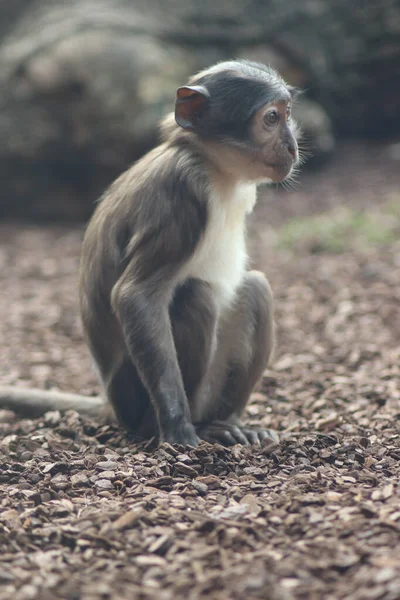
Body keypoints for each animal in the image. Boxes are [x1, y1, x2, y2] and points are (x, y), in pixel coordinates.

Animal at [0, 59, 300, 446]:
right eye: (271, 118)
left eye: (287, 114)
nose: (292, 147)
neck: (211, 165)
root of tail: (113, 407)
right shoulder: (181, 192)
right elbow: (136, 296)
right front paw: (177, 427)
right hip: (134, 396)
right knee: (196, 294)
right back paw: (189, 427)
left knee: (256, 288)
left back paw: (227, 421)